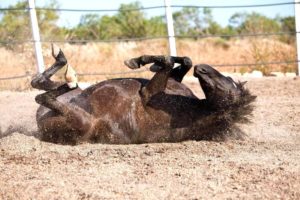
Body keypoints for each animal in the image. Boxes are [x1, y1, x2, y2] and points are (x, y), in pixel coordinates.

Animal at [31, 46, 255, 145]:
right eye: (229, 78)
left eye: (230, 90)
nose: (203, 69)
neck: (194, 111)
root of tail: (40, 126)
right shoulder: (173, 81)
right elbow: (182, 61)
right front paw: (145, 62)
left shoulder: (148, 93)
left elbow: (167, 61)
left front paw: (138, 61)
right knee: (38, 83)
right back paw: (61, 61)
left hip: (81, 121)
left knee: (44, 96)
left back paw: (69, 75)